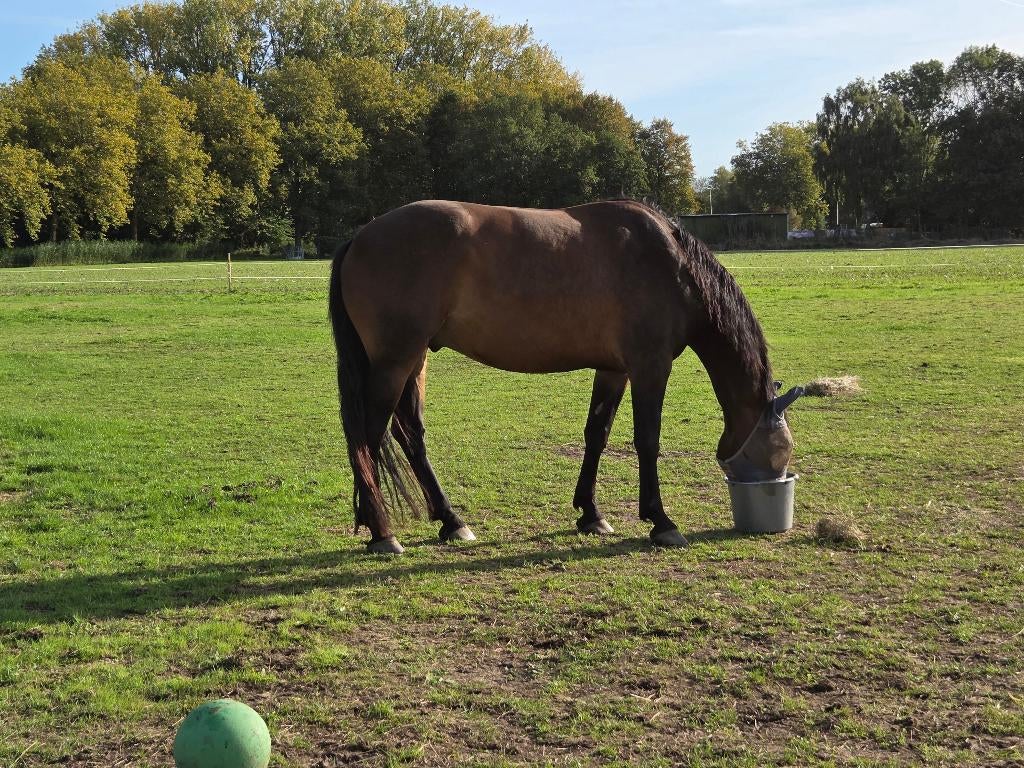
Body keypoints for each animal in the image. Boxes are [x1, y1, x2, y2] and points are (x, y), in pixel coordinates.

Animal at [328, 199, 802, 554]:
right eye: (780, 451)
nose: (775, 490)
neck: (672, 265)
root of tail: (360, 237)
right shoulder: (650, 366)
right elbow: (647, 440)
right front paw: (660, 520)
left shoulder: (614, 370)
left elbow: (598, 434)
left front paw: (591, 514)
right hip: (395, 361)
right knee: (368, 438)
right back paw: (382, 531)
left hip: (415, 361)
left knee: (410, 436)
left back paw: (449, 521)